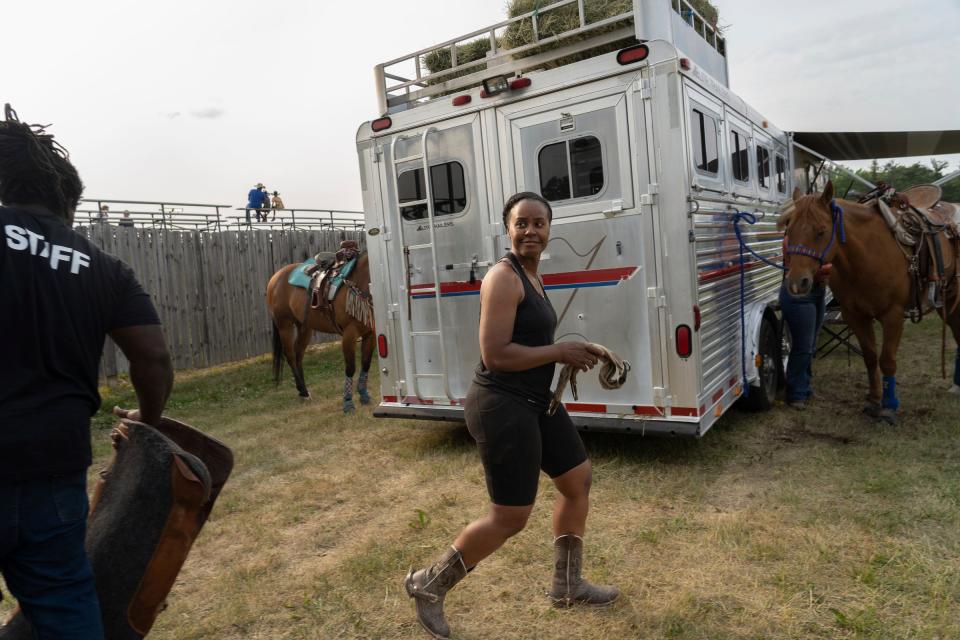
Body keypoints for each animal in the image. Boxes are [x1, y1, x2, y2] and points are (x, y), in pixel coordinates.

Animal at [270, 252, 378, 412]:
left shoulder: (370, 334)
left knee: (298, 354)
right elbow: (350, 368)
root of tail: (274, 278)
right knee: (290, 355)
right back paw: (303, 390)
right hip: (284, 325)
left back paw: (303, 392)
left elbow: (366, 364)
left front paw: (364, 395)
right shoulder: (349, 335)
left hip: (305, 327)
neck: (359, 281)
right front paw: (348, 403)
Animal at [780, 181, 960, 420]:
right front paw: (874, 400)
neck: (866, 257)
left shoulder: (893, 316)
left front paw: (889, 407)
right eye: (789, 230)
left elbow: (887, 361)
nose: (796, 283)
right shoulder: (855, 316)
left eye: (821, 231)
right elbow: (870, 357)